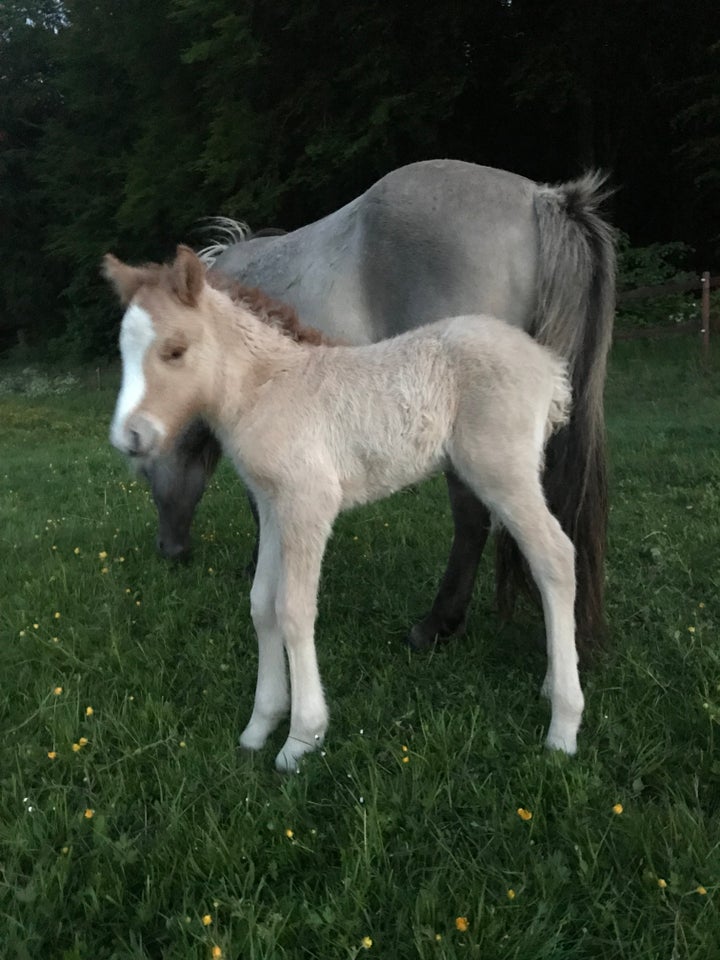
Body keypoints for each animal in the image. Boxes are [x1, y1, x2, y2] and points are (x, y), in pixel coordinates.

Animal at [107, 246, 584, 772]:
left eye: (175, 350)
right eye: (124, 352)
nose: (129, 437)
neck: (267, 387)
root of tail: (547, 364)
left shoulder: (308, 501)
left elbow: (294, 610)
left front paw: (301, 738)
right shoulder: (273, 507)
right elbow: (261, 604)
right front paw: (259, 726)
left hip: (502, 473)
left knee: (556, 557)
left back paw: (564, 726)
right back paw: (552, 682)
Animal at [138, 161, 616, 656]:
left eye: (142, 472)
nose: (170, 550)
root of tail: (542, 198)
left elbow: (261, 502)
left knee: (472, 518)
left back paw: (435, 625)